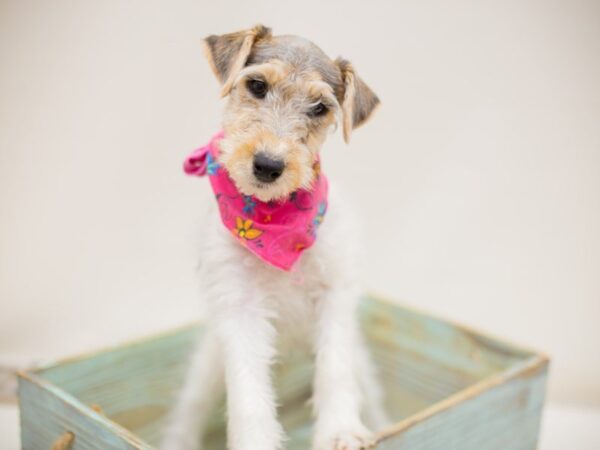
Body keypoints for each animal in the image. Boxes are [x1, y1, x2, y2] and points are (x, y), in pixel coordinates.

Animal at [162, 26, 386, 450]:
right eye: (256, 85)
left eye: (320, 107)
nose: (268, 165)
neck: (272, 222)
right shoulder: (240, 308)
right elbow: (249, 394)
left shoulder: (334, 293)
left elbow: (334, 370)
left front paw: (340, 430)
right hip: (207, 367)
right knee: (188, 414)